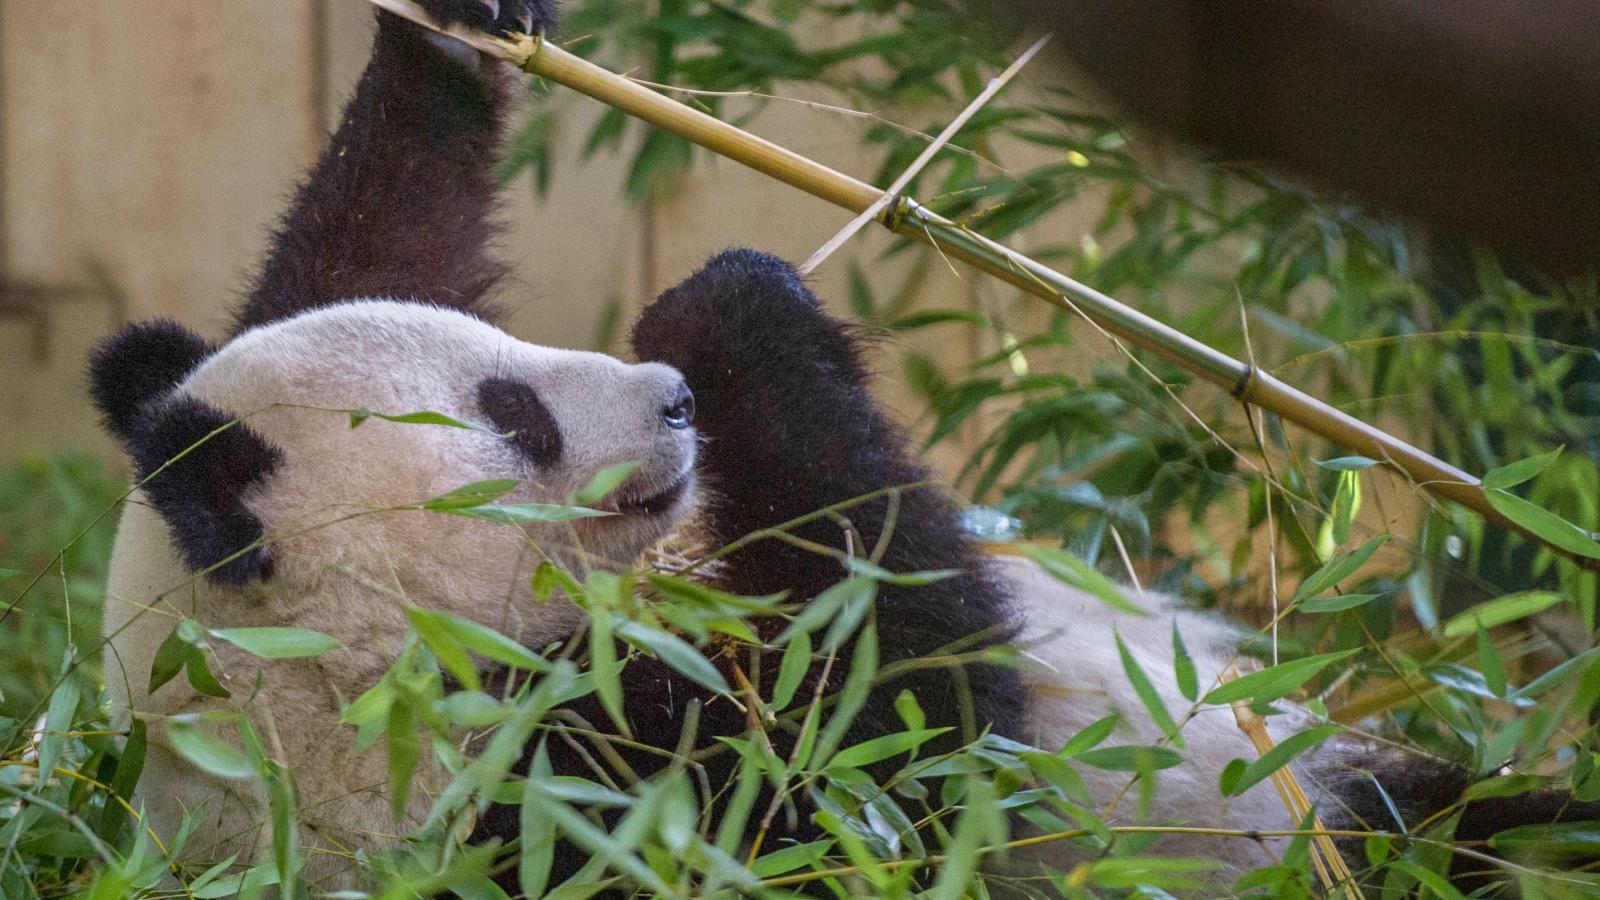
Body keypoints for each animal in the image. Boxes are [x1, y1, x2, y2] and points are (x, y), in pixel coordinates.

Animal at [90, 0, 1600, 890]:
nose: (672, 400)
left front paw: (453, 31)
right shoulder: (578, 798)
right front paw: (731, 308)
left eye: (496, 357)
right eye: (514, 417)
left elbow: (355, 248)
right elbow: (901, 743)